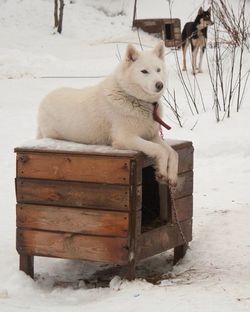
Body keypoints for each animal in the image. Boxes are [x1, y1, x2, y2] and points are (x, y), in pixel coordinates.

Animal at [37, 41, 178, 185]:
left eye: (158, 70)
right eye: (144, 71)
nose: (159, 84)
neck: (132, 97)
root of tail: (43, 101)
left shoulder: (152, 136)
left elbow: (173, 153)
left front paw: (171, 176)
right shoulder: (125, 138)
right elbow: (160, 150)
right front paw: (162, 172)